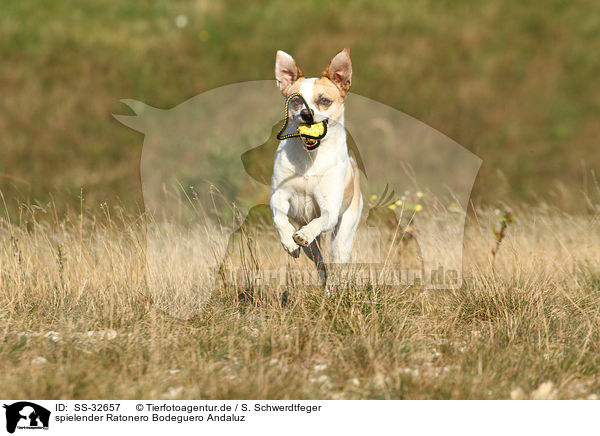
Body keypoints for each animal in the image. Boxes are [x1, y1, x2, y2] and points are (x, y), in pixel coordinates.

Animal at [270, 48, 360, 286]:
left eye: (324, 100)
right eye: (295, 102)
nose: (306, 114)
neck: (310, 158)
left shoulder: (330, 209)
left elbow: (321, 219)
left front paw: (303, 234)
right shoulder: (280, 195)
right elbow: (279, 219)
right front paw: (289, 242)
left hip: (343, 236)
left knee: (336, 265)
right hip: (313, 250)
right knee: (320, 263)